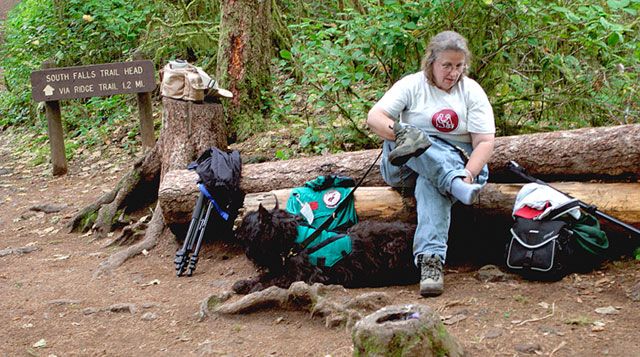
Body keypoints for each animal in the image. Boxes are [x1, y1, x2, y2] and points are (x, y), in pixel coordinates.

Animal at [232, 204, 418, 294]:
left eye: (246, 226)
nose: (236, 233)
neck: (293, 239)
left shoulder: (305, 276)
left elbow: (274, 280)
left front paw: (256, 286)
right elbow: (266, 275)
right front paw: (245, 283)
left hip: (392, 248)